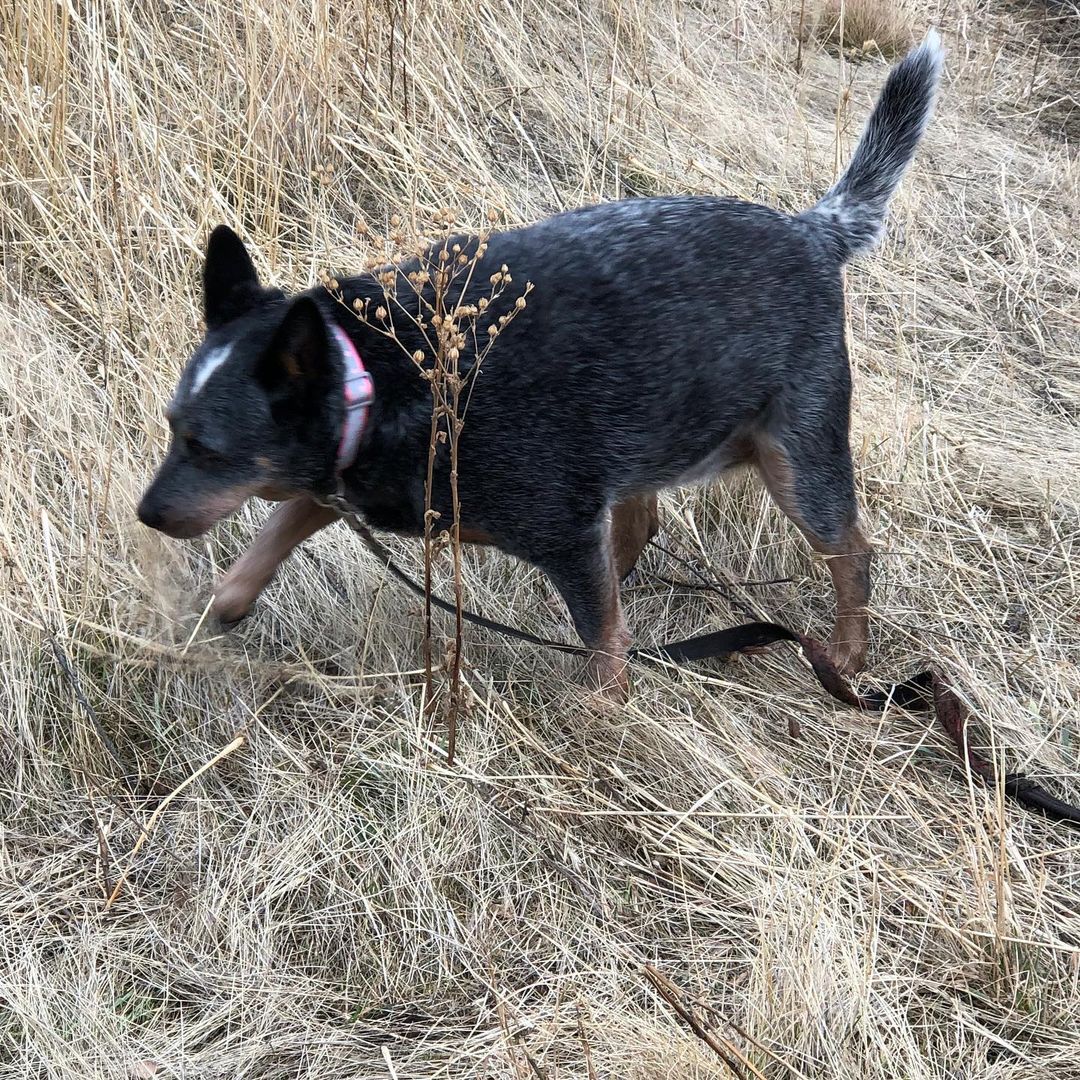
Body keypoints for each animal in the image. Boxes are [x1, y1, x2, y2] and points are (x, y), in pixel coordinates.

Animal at [137, 31, 946, 699]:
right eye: (171, 427)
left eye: (207, 448)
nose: (147, 513)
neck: (380, 376)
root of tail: (815, 230)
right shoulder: (346, 481)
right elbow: (274, 532)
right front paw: (225, 605)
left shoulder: (558, 529)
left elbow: (605, 647)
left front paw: (608, 718)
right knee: (641, 518)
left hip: (797, 458)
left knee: (852, 554)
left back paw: (845, 657)